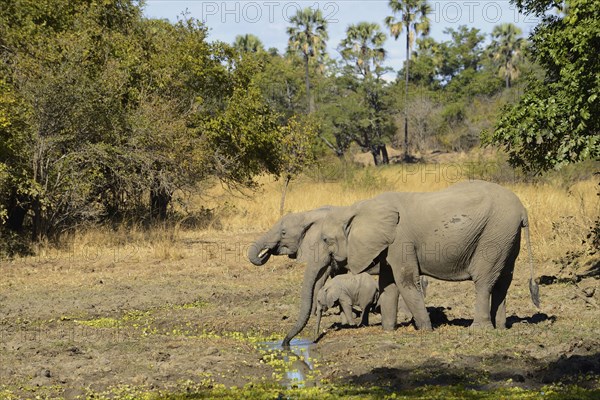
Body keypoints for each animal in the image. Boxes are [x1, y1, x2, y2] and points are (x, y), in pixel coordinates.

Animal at [322, 181, 540, 332]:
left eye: (326, 240)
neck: (360, 208)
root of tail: (523, 210)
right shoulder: (389, 246)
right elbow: (388, 284)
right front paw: (388, 330)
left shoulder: (401, 241)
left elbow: (406, 281)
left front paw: (426, 329)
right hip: (508, 237)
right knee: (503, 280)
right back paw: (500, 327)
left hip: (494, 235)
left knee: (484, 281)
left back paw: (479, 329)